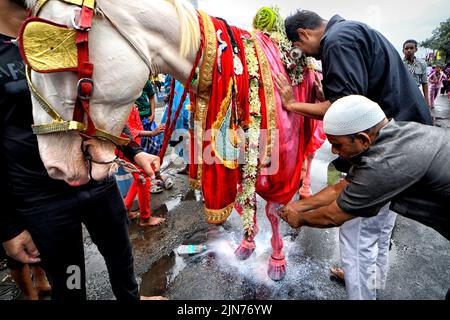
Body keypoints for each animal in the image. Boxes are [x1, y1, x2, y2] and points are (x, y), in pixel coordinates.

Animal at [23, 0, 320, 280]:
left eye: (51, 52)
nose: (55, 166)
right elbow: (245, 200)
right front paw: (247, 242)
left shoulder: (282, 160)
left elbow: (272, 208)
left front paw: (277, 260)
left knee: (309, 155)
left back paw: (305, 188)